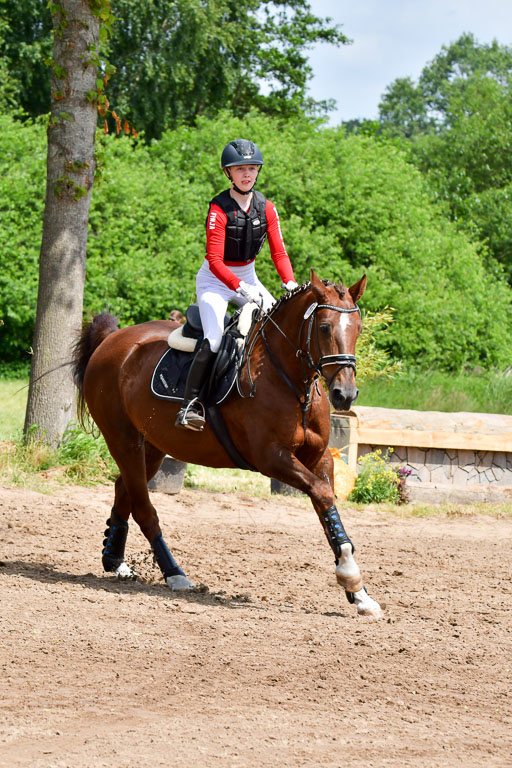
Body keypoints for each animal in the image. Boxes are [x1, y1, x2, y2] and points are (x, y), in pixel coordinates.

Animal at [72, 270, 383, 618]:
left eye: (358, 328)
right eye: (325, 327)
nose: (345, 395)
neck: (290, 380)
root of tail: (113, 339)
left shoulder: (318, 458)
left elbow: (328, 509)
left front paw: (360, 594)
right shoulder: (271, 458)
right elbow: (322, 493)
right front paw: (349, 575)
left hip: (151, 445)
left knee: (123, 489)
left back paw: (114, 559)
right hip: (123, 439)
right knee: (143, 507)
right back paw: (174, 574)